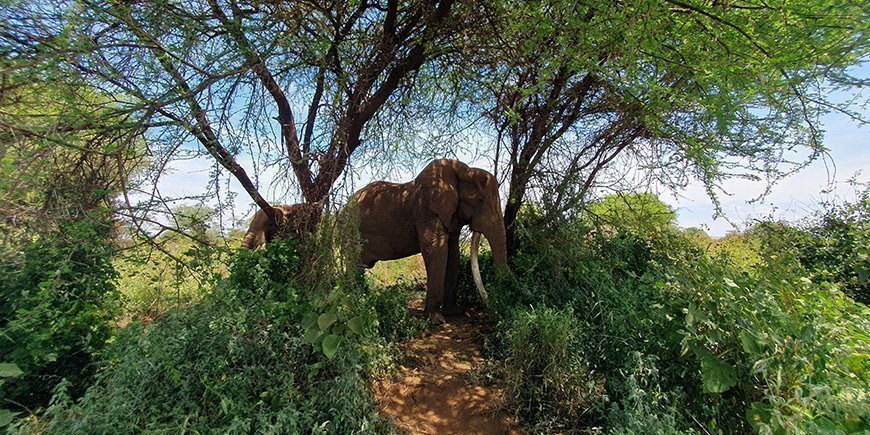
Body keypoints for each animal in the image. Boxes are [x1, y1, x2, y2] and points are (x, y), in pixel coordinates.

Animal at [353, 159, 508, 324]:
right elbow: (436, 250)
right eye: (479, 200)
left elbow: (453, 253)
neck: (463, 171)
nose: (495, 313)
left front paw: (454, 312)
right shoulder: (426, 207)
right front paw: (437, 320)